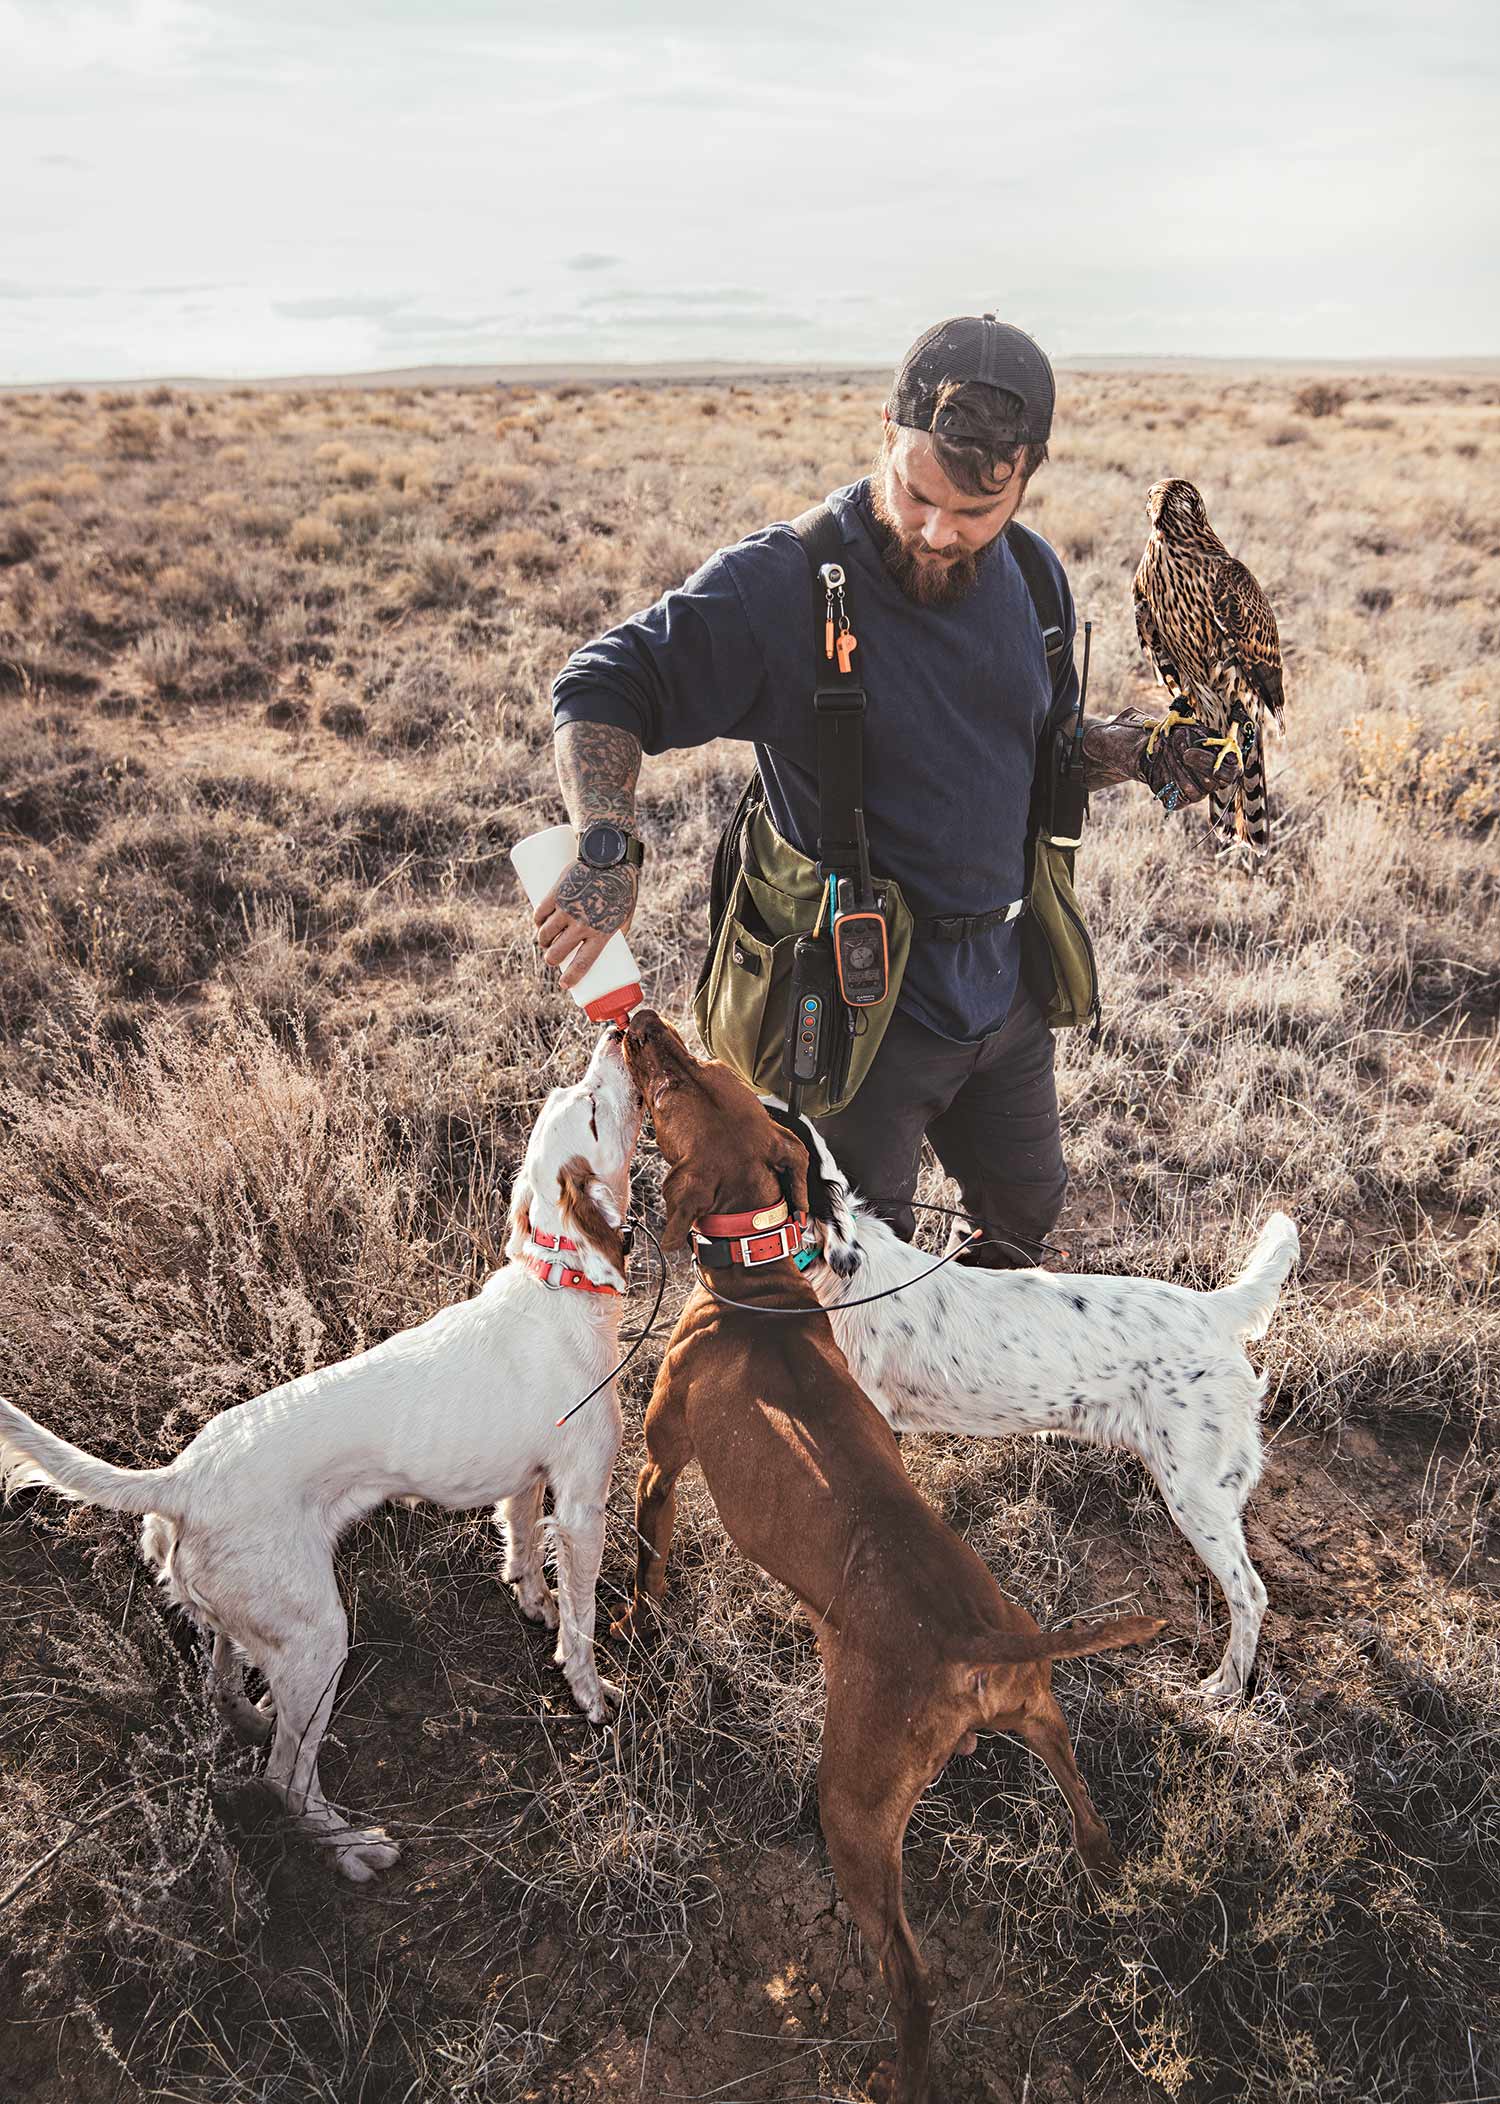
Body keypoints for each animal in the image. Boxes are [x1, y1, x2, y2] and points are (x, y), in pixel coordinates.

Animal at [0, 1026, 639, 1885]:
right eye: (596, 1110)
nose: (620, 1030)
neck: (557, 1280)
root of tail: (182, 1479)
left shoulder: (528, 1485)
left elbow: (522, 1552)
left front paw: (531, 1600)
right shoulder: (581, 1503)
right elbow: (582, 1619)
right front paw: (592, 1694)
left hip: (248, 1620)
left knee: (222, 1684)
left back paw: (248, 1714)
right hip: (317, 1637)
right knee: (285, 1780)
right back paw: (351, 1846)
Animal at [614, 1009, 1161, 2095]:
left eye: (679, 1084)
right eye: (716, 1069)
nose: (645, 1020)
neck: (755, 1283)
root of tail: (980, 1648)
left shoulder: (659, 1465)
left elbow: (646, 1570)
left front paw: (632, 1630)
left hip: (857, 1815)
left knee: (912, 1983)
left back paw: (897, 2073)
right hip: (1037, 1711)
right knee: (1083, 1800)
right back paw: (1103, 1871)